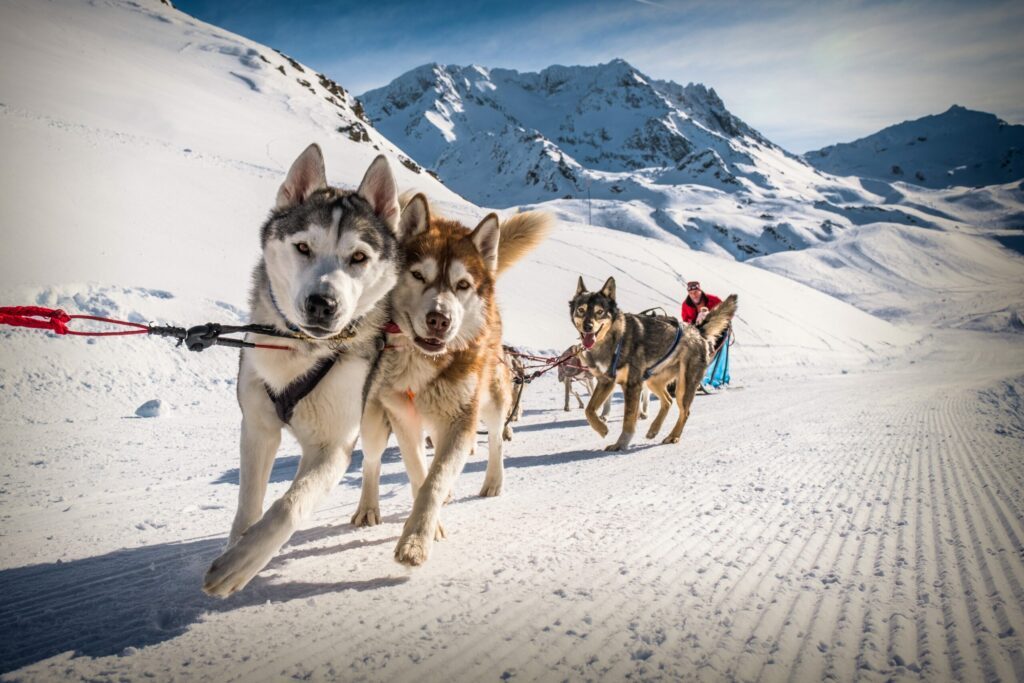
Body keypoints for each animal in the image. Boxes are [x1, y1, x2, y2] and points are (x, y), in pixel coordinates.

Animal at [201, 145, 405, 598]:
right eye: (303, 247)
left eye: (359, 257)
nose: (322, 303)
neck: (300, 351)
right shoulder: (257, 427)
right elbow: (249, 502)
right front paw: (238, 543)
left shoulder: (333, 446)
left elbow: (289, 506)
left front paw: (239, 564)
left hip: (374, 420)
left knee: (372, 463)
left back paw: (370, 507)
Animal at [356, 196, 557, 565]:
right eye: (418, 275)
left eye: (462, 284)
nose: (439, 319)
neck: (423, 360)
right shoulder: (402, 418)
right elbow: (419, 473)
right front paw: (427, 526)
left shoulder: (460, 419)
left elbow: (434, 481)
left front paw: (417, 539)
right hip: (375, 418)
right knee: (372, 460)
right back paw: (367, 507)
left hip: (492, 400)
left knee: (495, 439)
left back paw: (493, 481)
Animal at [569, 274, 737, 450]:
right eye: (581, 310)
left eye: (600, 312)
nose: (588, 326)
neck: (615, 338)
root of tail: (697, 330)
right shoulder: (606, 381)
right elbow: (589, 410)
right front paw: (602, 429)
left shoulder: (632, 385)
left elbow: (628, 420)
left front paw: (620, 444)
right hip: (653, 381)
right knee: (668, 401)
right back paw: (654, 429)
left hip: (683, 386)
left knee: (685, 411)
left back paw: (673, 436)